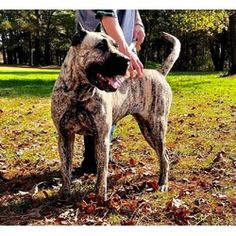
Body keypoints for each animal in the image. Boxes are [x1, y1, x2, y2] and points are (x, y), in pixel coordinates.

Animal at [51, 23, 181, 202]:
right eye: (101, 46)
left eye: (116, 45)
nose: (127, 60)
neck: (79, 93)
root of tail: (158, 72)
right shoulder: (64, 135)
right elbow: (65, 168)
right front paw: (65, 193)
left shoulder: (102, 137)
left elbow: (102, 172)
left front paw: (100, 197)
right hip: (147, 129)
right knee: (164, 155)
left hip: (156, 127)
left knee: (165, 157)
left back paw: (162, 183)